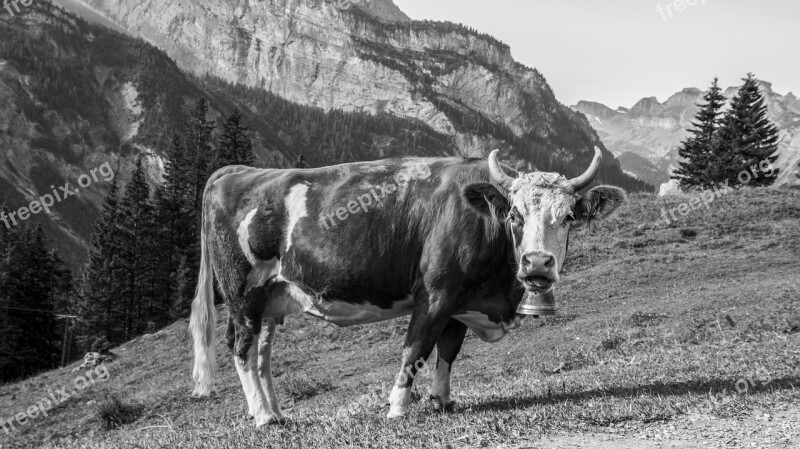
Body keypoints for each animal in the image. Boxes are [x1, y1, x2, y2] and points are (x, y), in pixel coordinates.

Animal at [189, 146, 624, 424]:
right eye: (514, 214)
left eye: (568, 216)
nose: (536, 263)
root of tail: (239, 171)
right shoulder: (435, 294)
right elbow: (416, 348)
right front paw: (398, 409)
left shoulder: (459, 302)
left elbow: (448, 351)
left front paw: (442, 401)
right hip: (243, 291)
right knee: (242, 347)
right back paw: (263, 417)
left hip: (272, 297)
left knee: (262, 353)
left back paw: (276, 414)